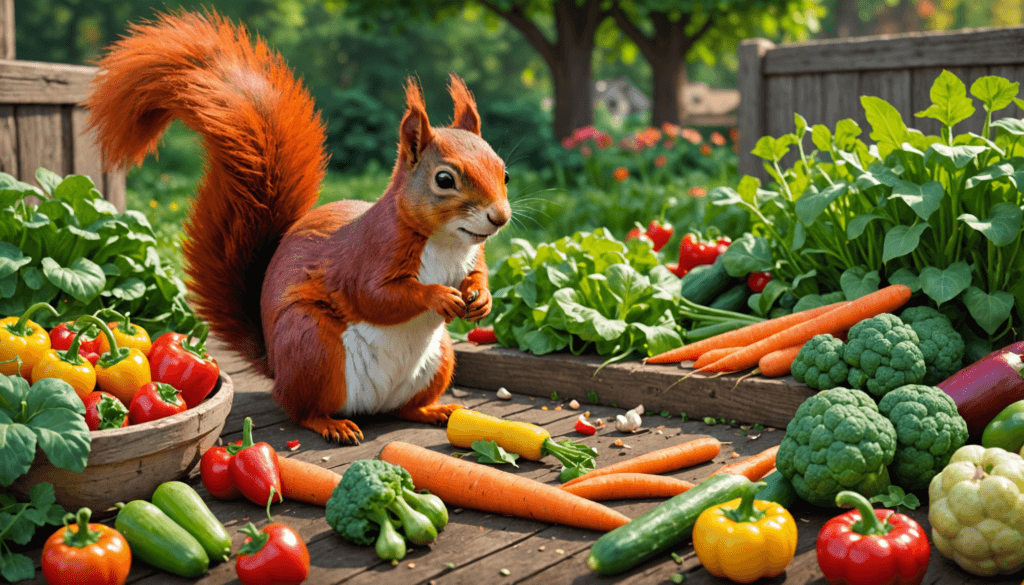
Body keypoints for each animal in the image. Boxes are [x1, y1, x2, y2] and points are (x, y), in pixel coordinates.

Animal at [84, 10, 510, 443]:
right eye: (444, 180)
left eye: (504, 172)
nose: (500, 217)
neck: (445, 242)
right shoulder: (371, 253)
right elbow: (377, 296)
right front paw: (437, 295)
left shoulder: (473, 255)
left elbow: (478, 276)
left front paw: (481, 298)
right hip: (312, 346)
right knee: (299, 409)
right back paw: (331, 424)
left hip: (439, 360)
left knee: (406, 408)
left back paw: (433, 410)